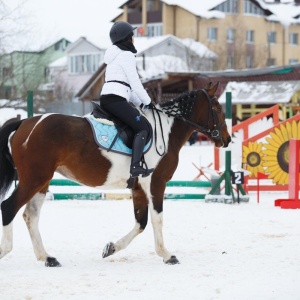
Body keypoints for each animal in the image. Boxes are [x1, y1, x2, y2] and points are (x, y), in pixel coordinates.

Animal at [0, 81, 231, 264]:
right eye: (218, 108)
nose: (227, 139)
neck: (166, 132)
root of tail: (25, 122)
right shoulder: (156, 183)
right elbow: (157, 219)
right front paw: (167, 255)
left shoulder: (138, 188)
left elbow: (141, 223)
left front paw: (111, 248)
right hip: (34, 179)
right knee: (9, 207)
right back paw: (8, 250)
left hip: (41, 182)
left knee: (30, 216)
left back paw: (47, 257)